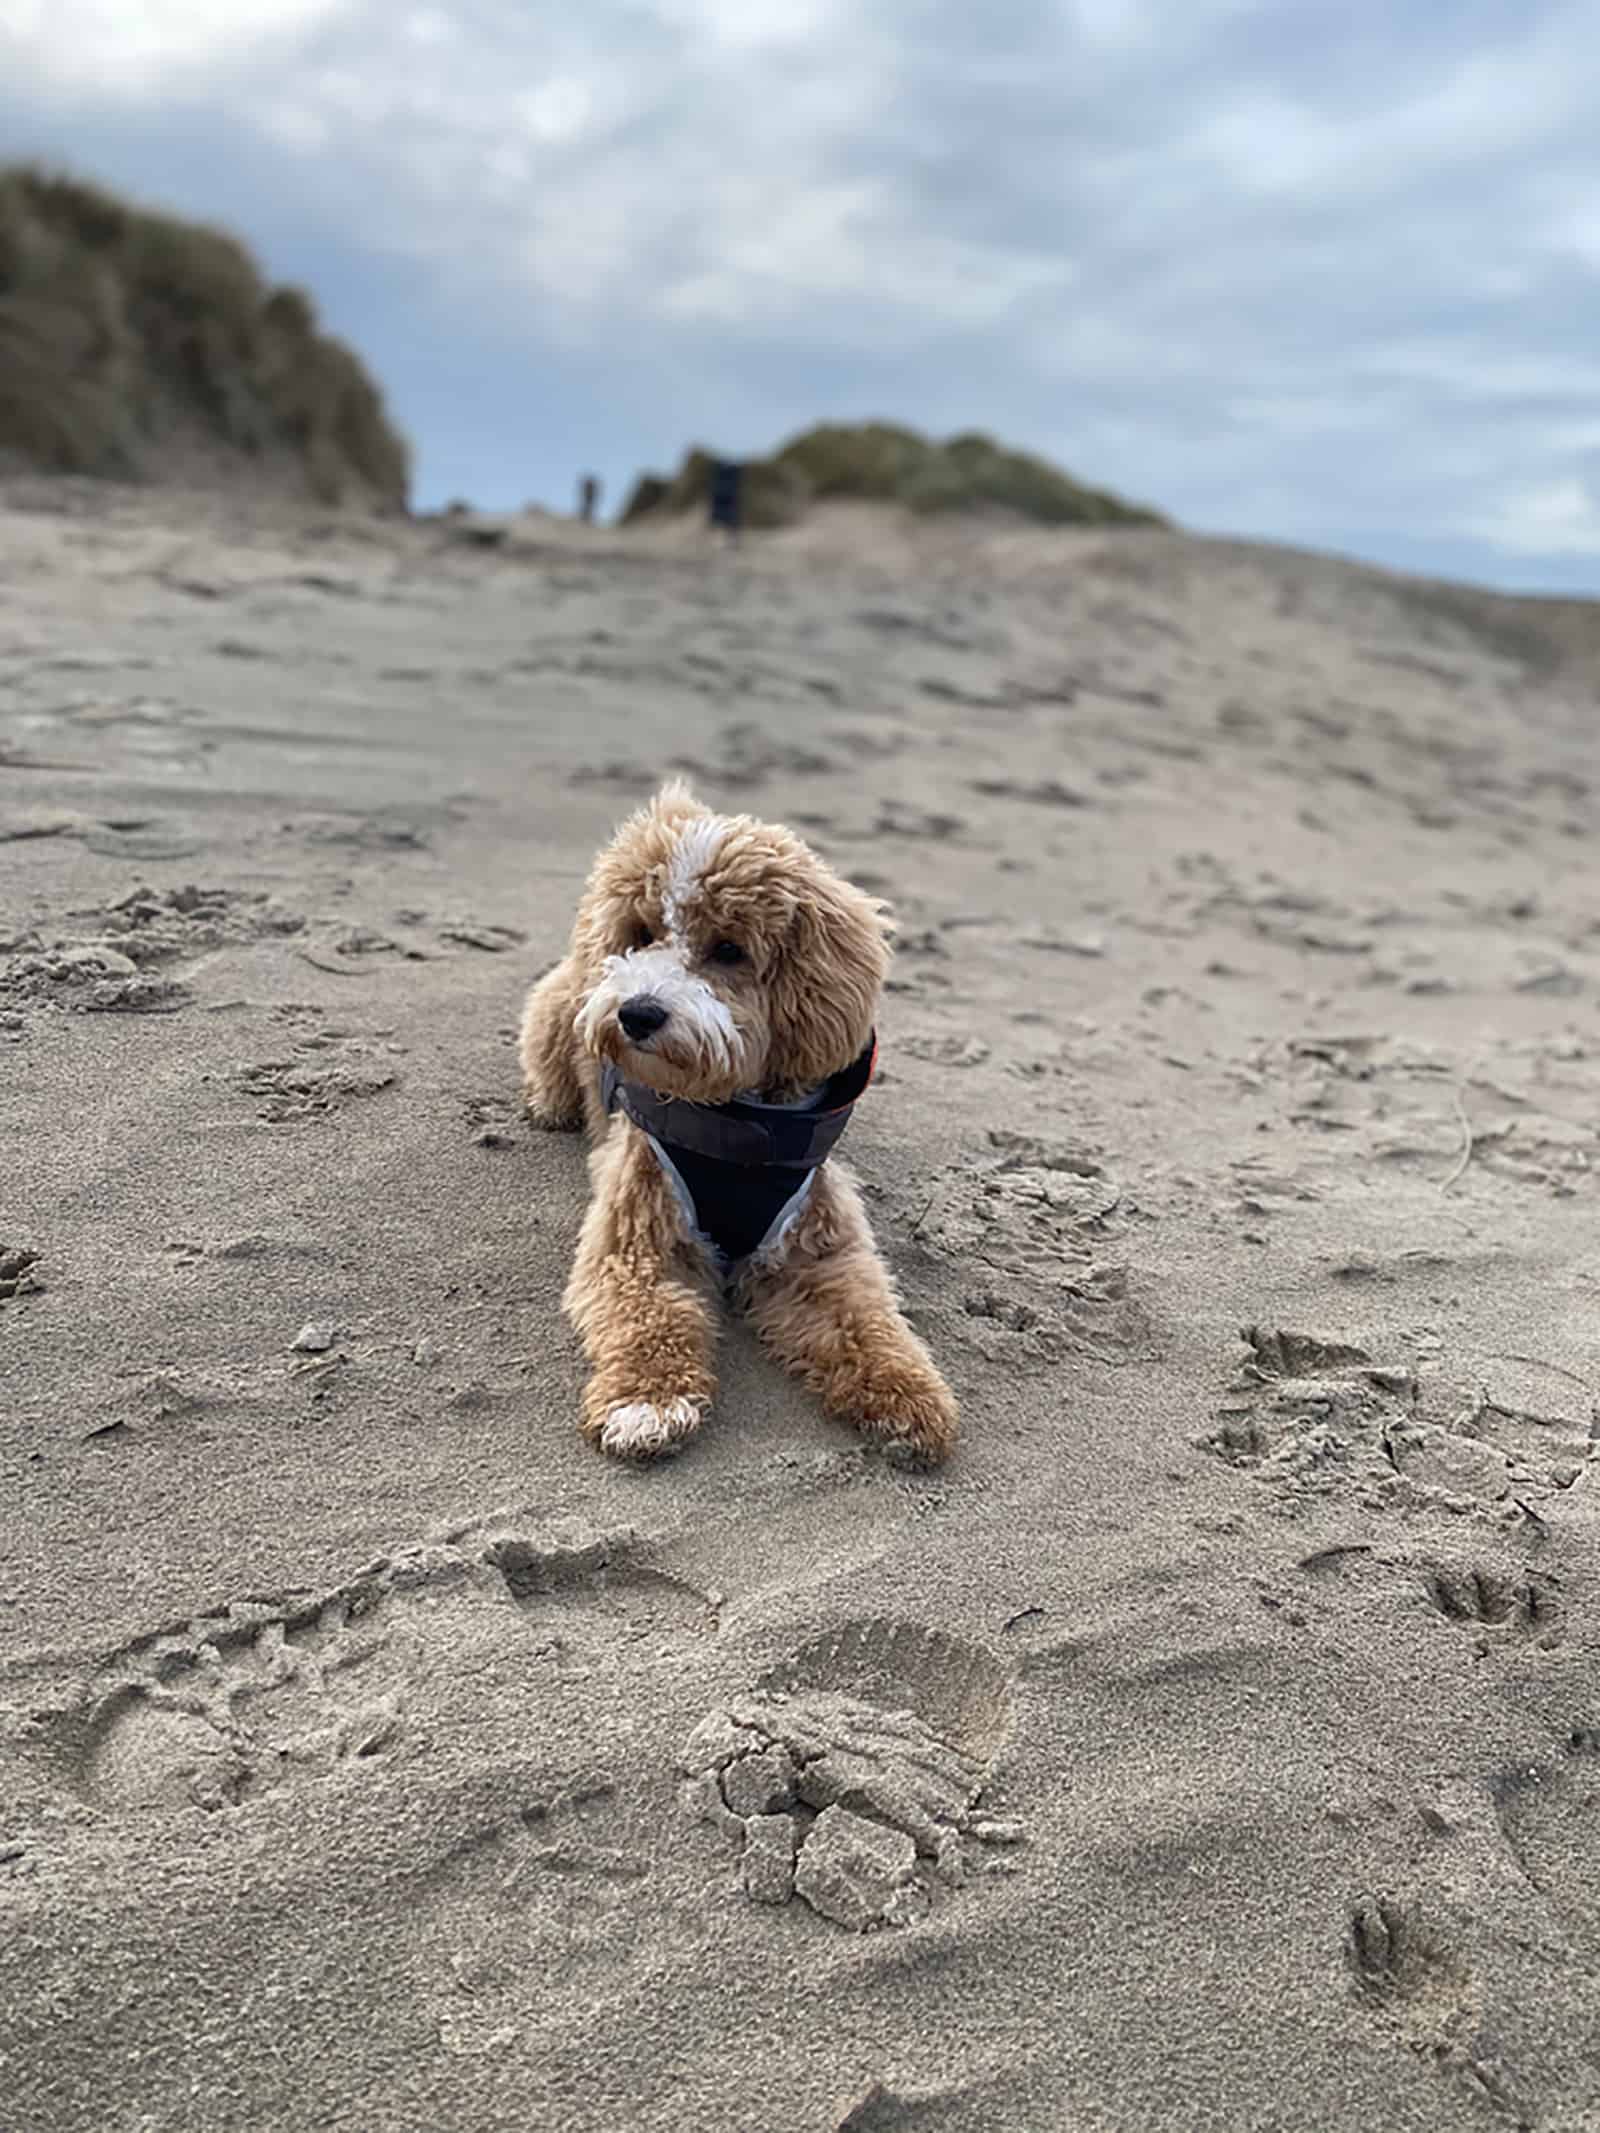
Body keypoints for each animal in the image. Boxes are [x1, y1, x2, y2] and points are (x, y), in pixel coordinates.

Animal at [520, 780, 960, 1467]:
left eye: (728, 950)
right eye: (640, 933)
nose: (636, 1013)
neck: (737, 1126)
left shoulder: (818, 1251)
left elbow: (865, 1320)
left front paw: (908, 1398)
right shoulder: (637, 1240)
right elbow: (649, 1313)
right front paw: (646, 1403)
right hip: (554, 1019)